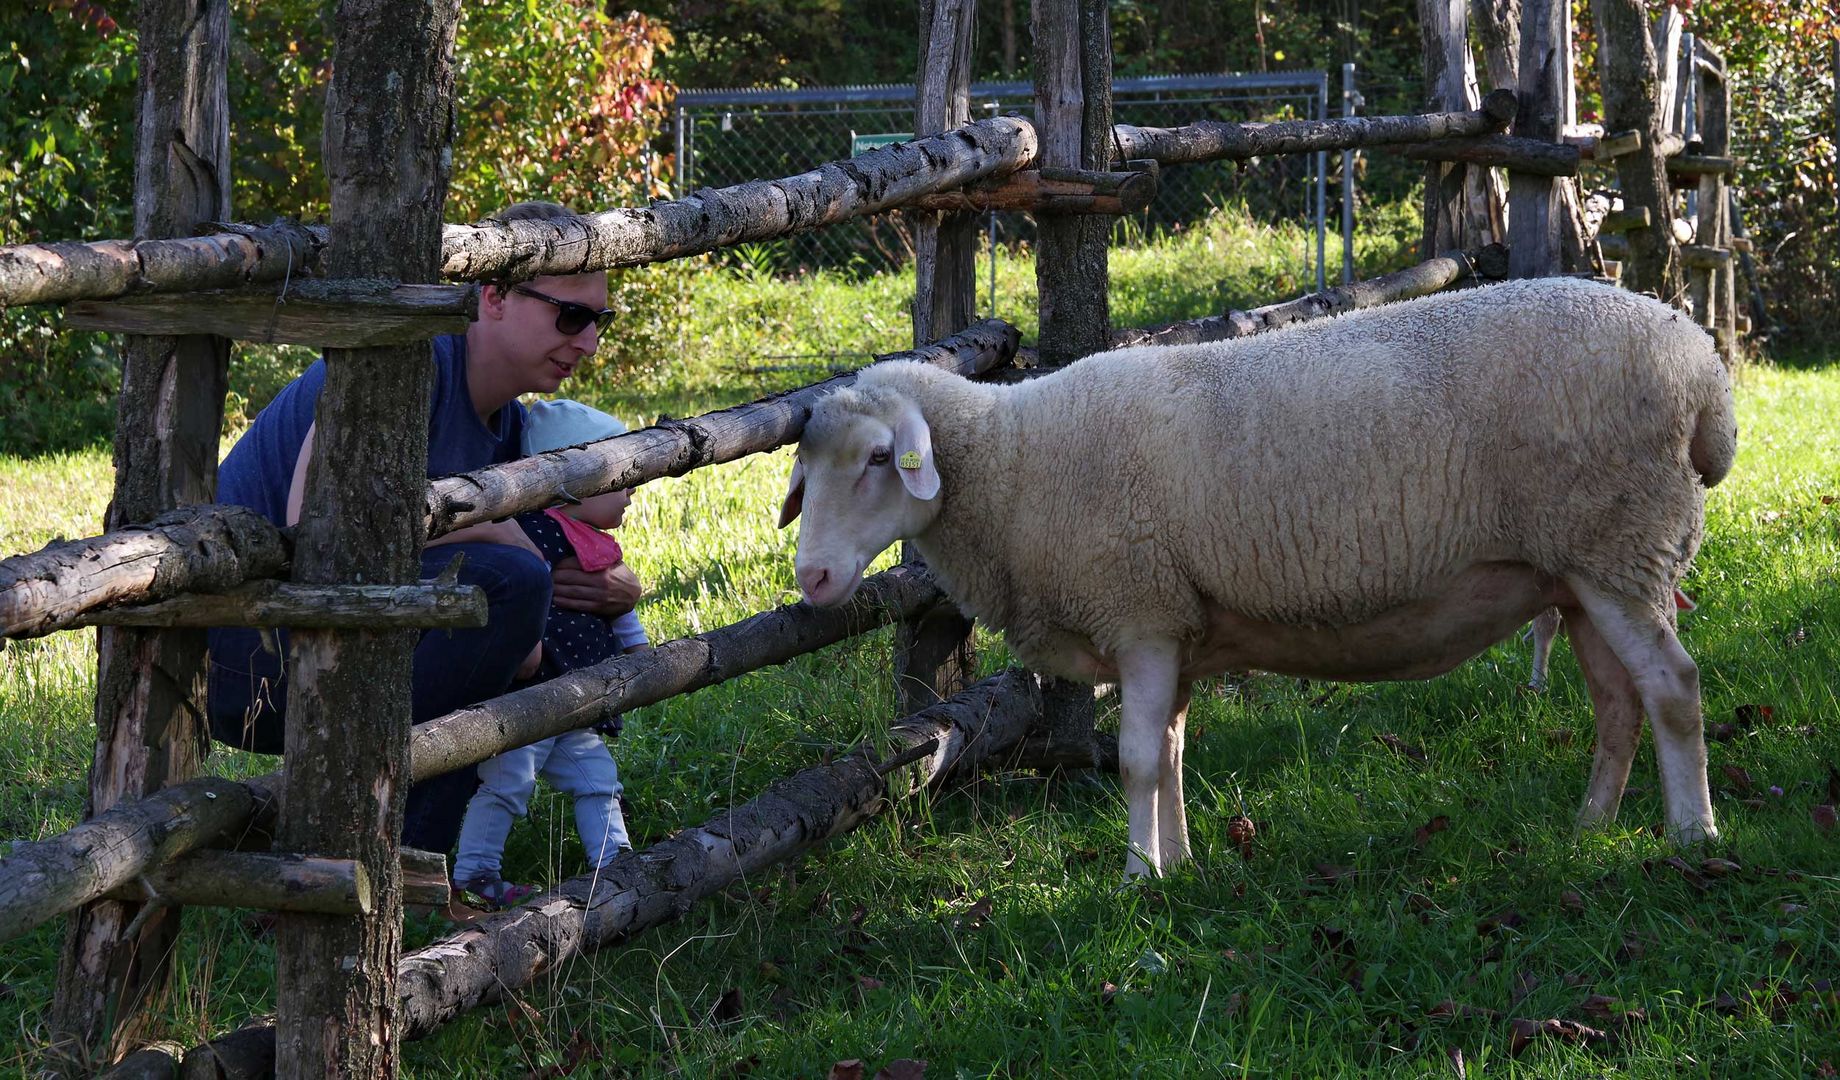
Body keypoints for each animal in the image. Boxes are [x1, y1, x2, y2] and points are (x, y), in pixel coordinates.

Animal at [776, 279, 1736, 879]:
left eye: (878, 459)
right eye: (805, 467)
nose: (814, 576)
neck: (1014, 464)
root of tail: (1704, 370)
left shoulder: (1139, 613)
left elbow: (1135, 760)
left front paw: (1134, 879)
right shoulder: (1176, 626)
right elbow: (1168, 754)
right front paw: (1178, 865)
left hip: (1621, 547)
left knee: (1674, 687)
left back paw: (1691, 834)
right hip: (1582, 573)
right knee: (1619, 703)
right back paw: (1591, 827)